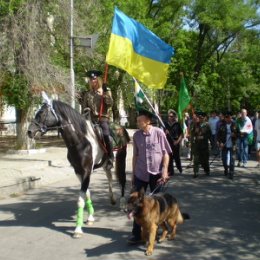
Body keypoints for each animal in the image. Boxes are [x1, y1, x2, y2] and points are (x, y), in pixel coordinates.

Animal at [27, 93, 129, 238]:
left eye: (41, 113)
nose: (29, 132)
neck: (80, 142)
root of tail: (120, 127)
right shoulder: (78, 171)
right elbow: (87, 194)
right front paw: (90, 217)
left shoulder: (86, 171)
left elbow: (80, 199)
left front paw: (77, 229)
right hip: (105, 163)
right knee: (109, 175)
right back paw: (113, 199)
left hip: (122, 156)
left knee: (122, 178)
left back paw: (122, 203)